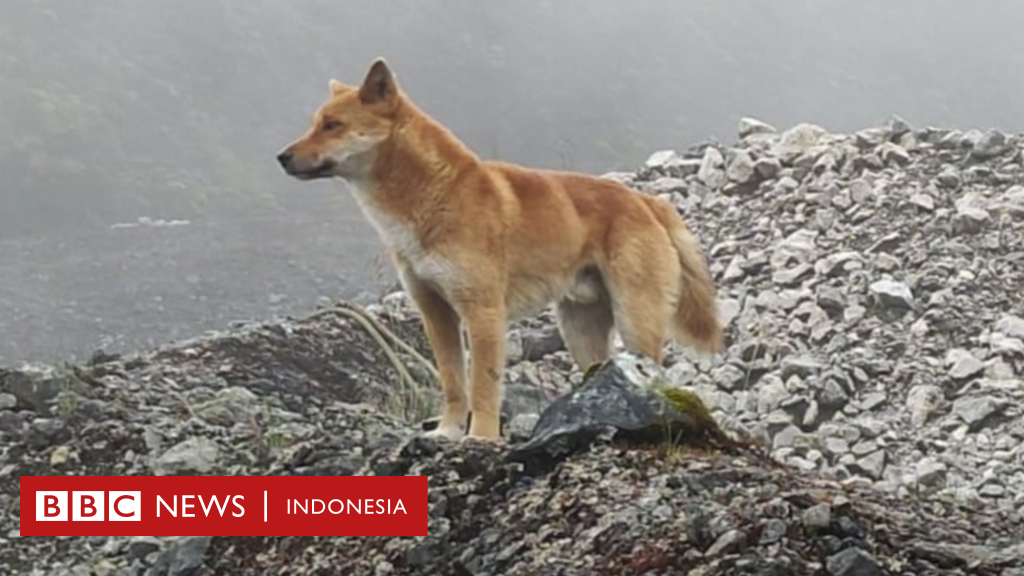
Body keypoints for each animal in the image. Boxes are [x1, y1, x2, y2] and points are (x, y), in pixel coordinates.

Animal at [272, 58, 720, 440]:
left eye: (333, 125)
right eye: (315, 124)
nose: (281, 157)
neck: (433, 197)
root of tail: (646, 201)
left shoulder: (482, 310)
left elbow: (483, 386)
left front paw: (481, 438)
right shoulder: (436, 313)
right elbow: (455, 383)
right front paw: (447, 432)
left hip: (635, 319)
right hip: (580, 330)